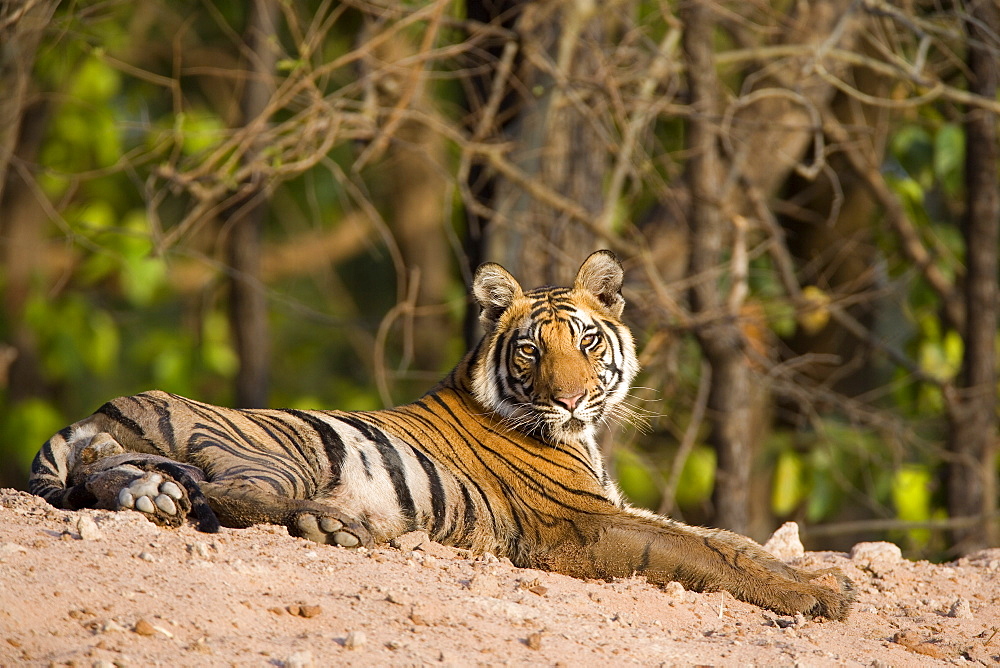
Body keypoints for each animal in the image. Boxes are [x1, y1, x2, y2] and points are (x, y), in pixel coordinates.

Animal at [29, 250, 852, 620]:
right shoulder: (581, 525)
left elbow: (727, 540)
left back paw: (157, 499)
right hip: (271, 455)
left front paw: (827, 582)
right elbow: (699, 553)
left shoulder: (616, 505)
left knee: (108, 480)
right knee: (234, 498)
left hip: (124, 456)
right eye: (532, 351)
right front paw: (813, 600)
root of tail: (98, 409)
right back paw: (339, 528)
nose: (571, 398)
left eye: (587, 341)